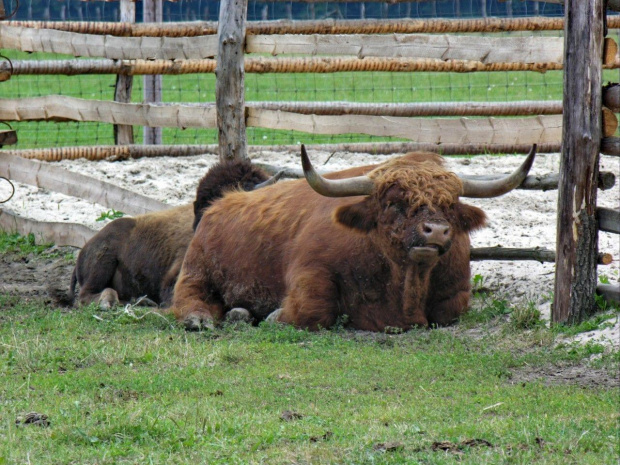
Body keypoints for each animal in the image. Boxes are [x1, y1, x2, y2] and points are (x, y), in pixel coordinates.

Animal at [172, 145, 536, 330]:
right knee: (188, 299)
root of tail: (219, 203)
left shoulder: (457, 290)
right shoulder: (310, 273)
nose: (436, 231)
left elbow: (450, 310)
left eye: (450, 205)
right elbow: (313, 310)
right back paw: (203, 318)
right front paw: (274, 316)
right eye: (393, 203)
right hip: (196, 271)